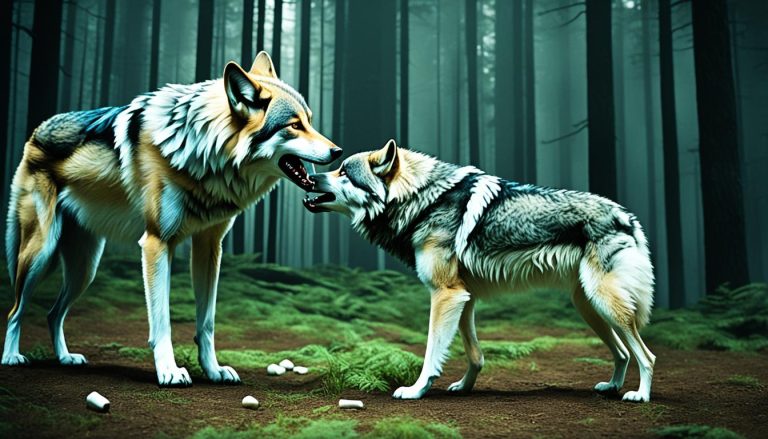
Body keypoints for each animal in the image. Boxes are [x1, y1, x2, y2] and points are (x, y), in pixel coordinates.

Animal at [2, 52, 341, 386]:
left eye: (310, 121)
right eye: (295, 125)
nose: (338, 151)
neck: (203, 152)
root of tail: (37, 130)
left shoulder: (209, 247)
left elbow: (207, 322)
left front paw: (214, 370)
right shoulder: (156, 244)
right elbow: (161, 321)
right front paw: (169, 371)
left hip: (85, 269)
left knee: (52, 313)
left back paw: (65, 358)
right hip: (42, 253)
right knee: (15, 310)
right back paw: (12, 357)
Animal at [305, 139, 656, 402]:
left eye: (343, 171)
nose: (310, 177)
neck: (423, 199)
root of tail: (627, 217)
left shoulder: (446, 294)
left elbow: (431, 351)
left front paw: (416, 389)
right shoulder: (465, 298)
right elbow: (475, 355)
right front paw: (464, 387)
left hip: (604, 303)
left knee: (646, 355)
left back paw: (639, 395)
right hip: (590, 307)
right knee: (623, 352)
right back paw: (611, 387)